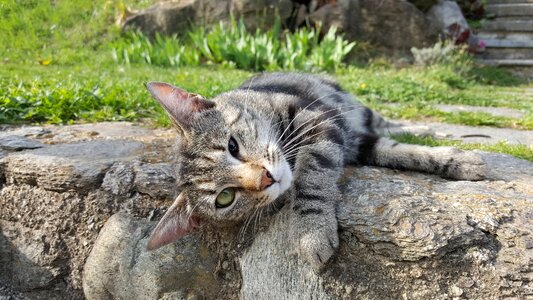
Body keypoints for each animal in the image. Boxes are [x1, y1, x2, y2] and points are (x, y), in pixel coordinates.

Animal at [143, 72, 484, 270]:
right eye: (225, 198)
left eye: (232, 146)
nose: (266, 178)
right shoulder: (354, 141)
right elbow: (395, 152)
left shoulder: (320, 119)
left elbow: (312, 174)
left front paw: (312, 233)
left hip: (352, 104)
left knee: (387, 122)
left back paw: (430, 130)